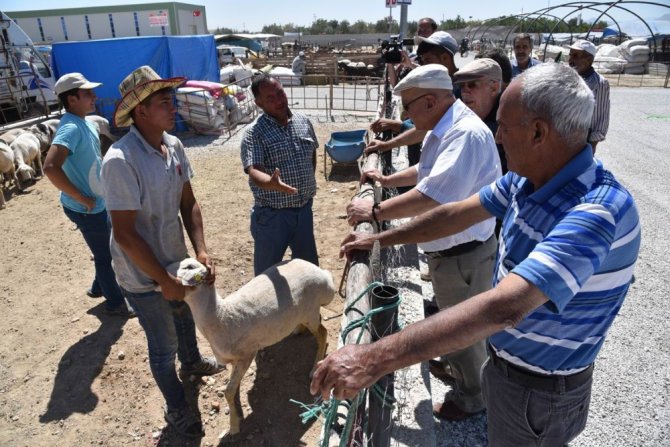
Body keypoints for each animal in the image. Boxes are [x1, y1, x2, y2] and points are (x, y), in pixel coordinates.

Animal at [171, 260, 334, 438]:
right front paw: (238, 414)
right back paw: (298, 329)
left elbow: (228, 391)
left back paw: (314, 368)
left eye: (189, 267)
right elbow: (233, 389)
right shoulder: (235, 360)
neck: (221, 316)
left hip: (311, 311)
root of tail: (324, 275)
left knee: (323, 333)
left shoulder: (247, 355)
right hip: (306, 313)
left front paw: (234, 426)